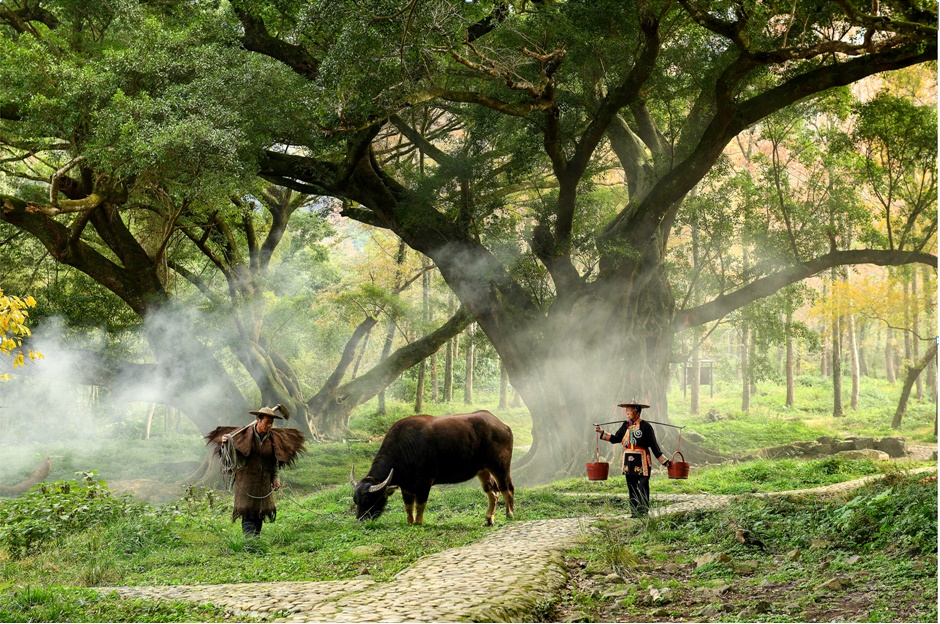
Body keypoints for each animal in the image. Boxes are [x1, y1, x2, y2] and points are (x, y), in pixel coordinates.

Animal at [350, 410, 516, 528]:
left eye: (369, 499)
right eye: (355, 500)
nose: (359, 519)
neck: (403, 449)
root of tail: (503, 426)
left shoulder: (424, 481)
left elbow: (420, 504)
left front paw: (418, 522)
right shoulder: (406, 486)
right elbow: (408, 506)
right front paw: (410, 522)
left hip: (500, 466)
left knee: (507, 488)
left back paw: (510, 514)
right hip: (483, 470)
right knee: (492, 492)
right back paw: (488, 520)